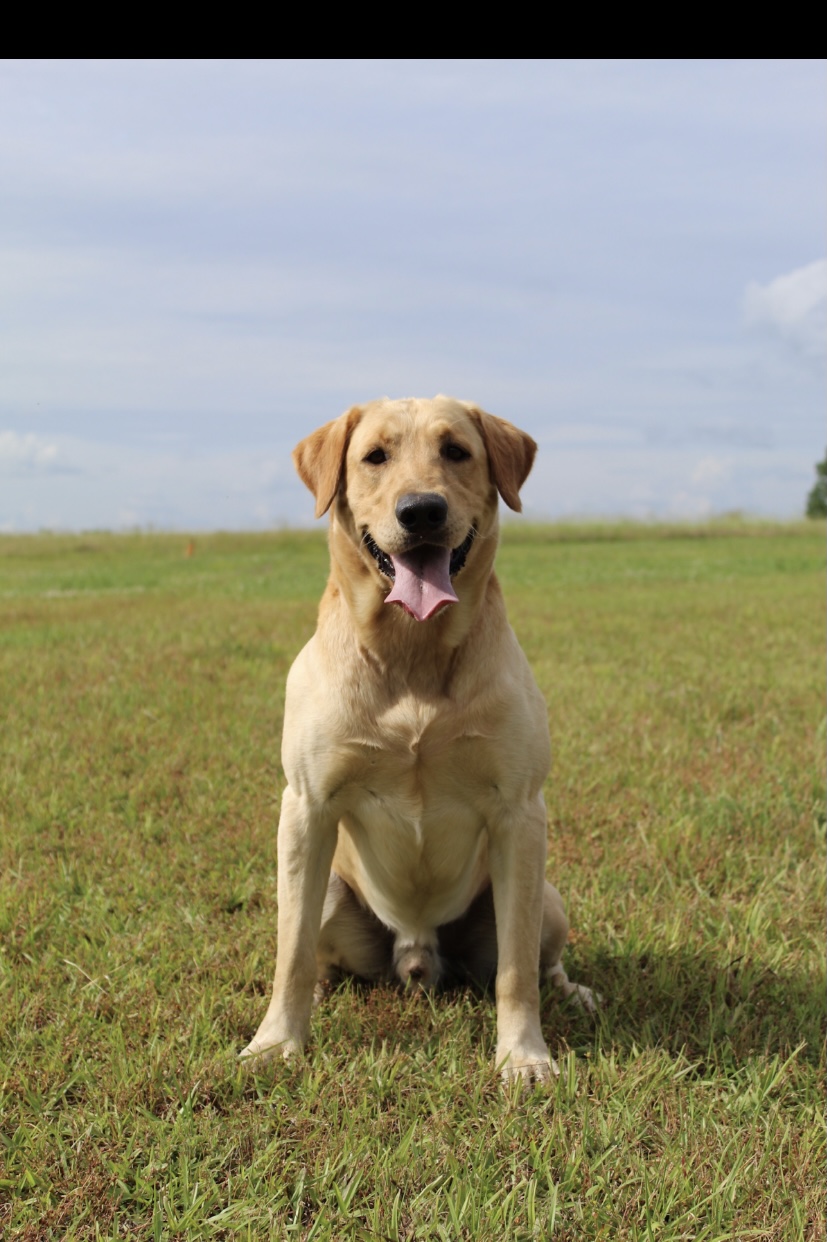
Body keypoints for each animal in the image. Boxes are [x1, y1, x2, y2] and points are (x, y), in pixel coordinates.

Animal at [239, 394, 593, 1078]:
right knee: (313, 948)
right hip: (329, 890)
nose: (422, 510)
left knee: (541, 959)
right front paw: (276, 1041)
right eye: (375, 457)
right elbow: (290, 954)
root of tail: (416, 951)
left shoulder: (519, 813)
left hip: (546, 897)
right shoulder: (306, 806)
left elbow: (516, 971)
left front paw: (523, 1056)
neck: (414, 652)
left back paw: (574, 991)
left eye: (456, 450)